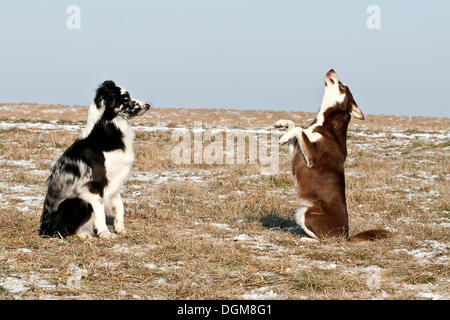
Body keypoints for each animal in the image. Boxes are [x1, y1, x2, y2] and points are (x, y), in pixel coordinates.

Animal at [39, 80, 151, 240]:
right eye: (125, 97)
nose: (148, 105)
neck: (107, 128)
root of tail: (43, 229)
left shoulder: (113, 181)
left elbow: (120, 205)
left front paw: (120, 228)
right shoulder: (94, 186)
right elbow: (100, 212)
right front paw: (105, 234)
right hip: (77, 202)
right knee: (62, 231)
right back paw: (85, 236)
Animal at [274, 69, 390, 241]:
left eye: (342, 86)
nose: (332, 69)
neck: (325, 124)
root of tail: (346, 236)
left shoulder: (312, 157)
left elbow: (300, 129)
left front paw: (284, 136)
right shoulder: (296, 151)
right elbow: (294, 126)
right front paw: (283, 124)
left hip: (306, 212)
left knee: (323, 239)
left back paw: (306, 239)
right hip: (302, 210)